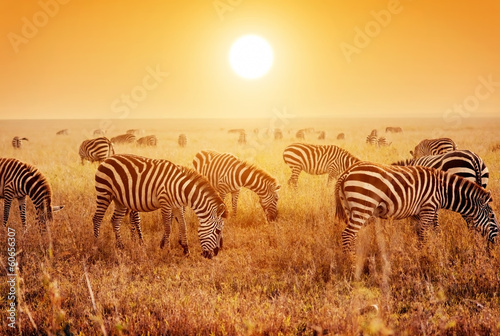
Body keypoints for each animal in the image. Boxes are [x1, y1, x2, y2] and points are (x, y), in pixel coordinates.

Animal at [92, 154, 227, 258]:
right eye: (218, 231)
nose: (214, 254)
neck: (180, 188)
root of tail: (108, 159)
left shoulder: (177, 206)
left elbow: (183, 226)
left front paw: (186, 250)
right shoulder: (165, 203)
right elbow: (168, 228)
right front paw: (167, 251)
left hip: (120, 200)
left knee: (115, 220)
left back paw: (120, 246)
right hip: (104, 192)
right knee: (97, 218)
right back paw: (96, 245)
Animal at [334, 161, 498, 253]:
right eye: (492, 217)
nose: (496, 244)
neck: (443, 191)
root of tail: (347, 172)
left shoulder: (418, 212)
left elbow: (425, 232)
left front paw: (429, 251)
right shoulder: (429, 207)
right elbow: (424, 234)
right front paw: (424, 257)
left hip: (351, 208)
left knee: (352, 235)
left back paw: (355, 257)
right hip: (363, 205)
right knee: (347, 234)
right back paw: (350, 262)